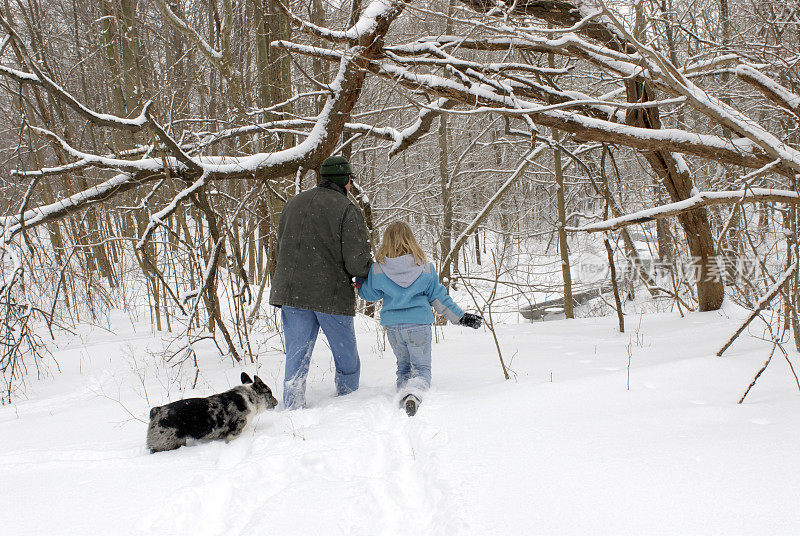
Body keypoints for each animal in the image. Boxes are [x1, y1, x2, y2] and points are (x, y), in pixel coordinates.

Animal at [146, 372, 278, 452]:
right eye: (270, 393)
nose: (277, 402)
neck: (251, 397)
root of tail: (157, 411)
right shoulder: (234, 432)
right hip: (169, 444)